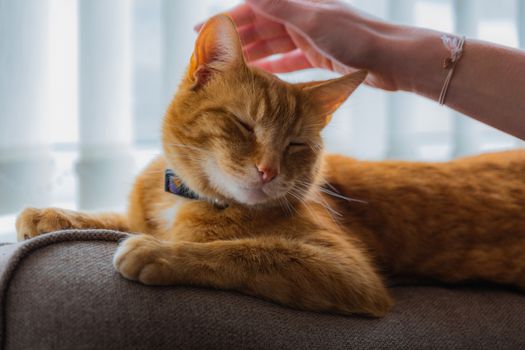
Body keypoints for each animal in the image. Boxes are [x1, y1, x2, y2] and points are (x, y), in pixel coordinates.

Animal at [16, 14, 524, 318]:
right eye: (243, 125)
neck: (188, 200)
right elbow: (115, 217)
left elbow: (249, 251)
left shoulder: (351, 274)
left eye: (296, 144)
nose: (267, 171)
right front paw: (52, 214)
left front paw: (162, 252)